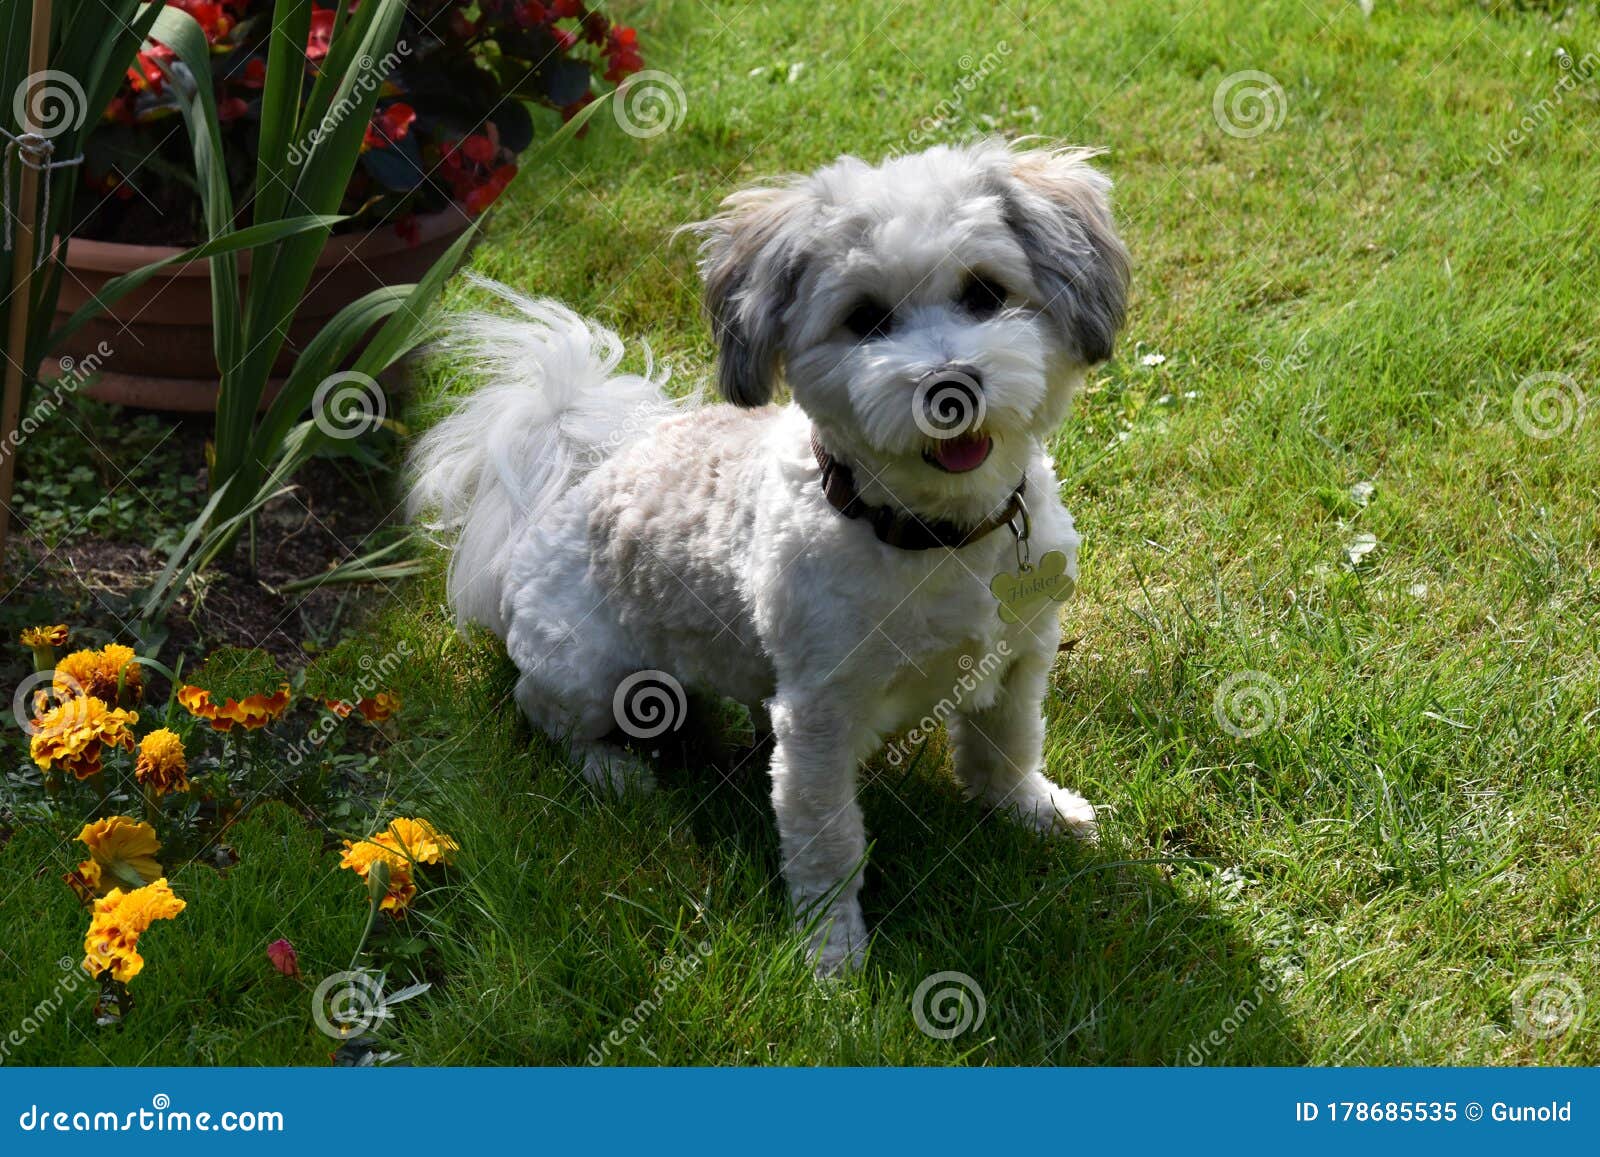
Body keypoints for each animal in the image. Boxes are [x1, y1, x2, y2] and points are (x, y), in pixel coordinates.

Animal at [412, 140, 1139, 972]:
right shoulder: (818, 721)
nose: (949, 384)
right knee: (542, 712)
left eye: (986, 292)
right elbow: (828, 839)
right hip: (590, 672)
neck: (930, 532)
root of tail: (545, 511)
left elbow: (1008, 744)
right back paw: (614, 772)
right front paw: (832, 953)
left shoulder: (1020, 654)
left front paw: (1030, 809)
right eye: (865, 318)